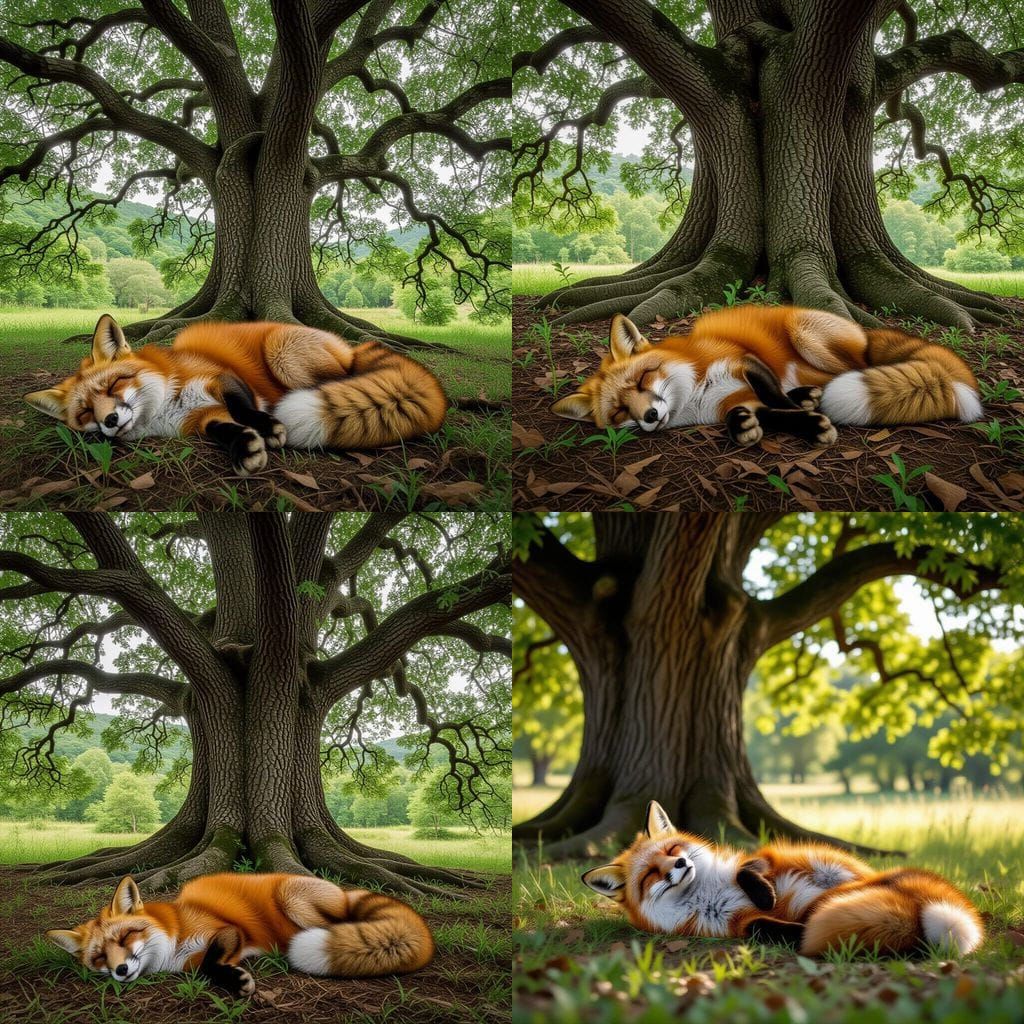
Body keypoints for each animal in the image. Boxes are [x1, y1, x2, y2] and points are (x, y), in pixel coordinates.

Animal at [25, 314, 448, 475]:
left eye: (113, 387)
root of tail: (350, 345)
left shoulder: (222, 379)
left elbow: (244, 406)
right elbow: (223, 429)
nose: (110, 421)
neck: (167, 406)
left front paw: (269, 427)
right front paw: (245, 446)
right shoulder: (198, 420)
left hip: (282, 354)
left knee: (346, 378)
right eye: (85, 413)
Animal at [45, 873, 435, 996]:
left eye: (125, 938)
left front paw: (237, 981)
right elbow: (207, 967)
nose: (121, 970)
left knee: (342, 926)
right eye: (99, 957)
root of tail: (342, 890)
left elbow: (210, 963)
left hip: (293, 899)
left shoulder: (227, 930)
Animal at [551, 306, 982, 448]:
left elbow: (776, 398)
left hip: (805, 335)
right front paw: (746, 426)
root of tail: (865, 331)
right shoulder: (731, 400)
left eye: (643, 381)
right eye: (620, 412)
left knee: (856, 369)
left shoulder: (747, 363)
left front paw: (813, 422)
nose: (651, 416)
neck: (695, 395)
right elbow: (765, 413)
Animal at [582, 801, 983, 957]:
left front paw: (766, 894)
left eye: (673, 848)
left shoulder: (761, 859)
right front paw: (797, 927)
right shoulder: (735, 925)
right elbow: (765, 926)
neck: (708, 887)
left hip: (830, 867)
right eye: (651, 873)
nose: (679, 863)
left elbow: (748, 870)